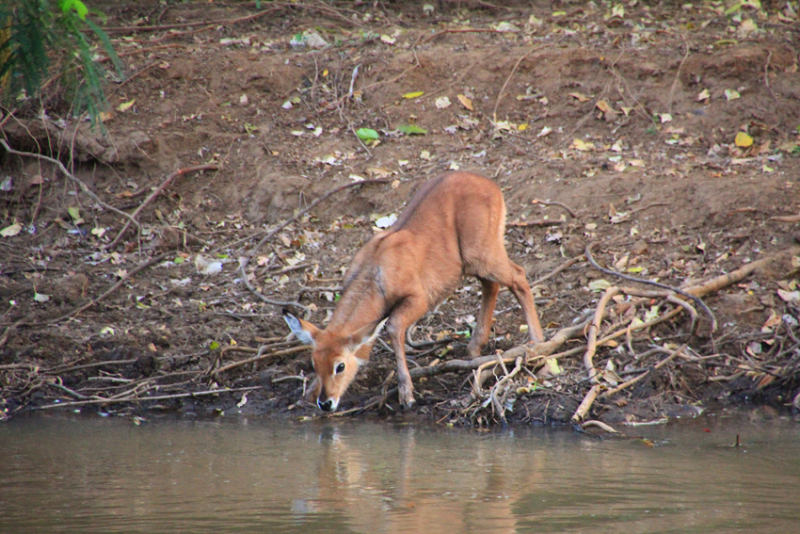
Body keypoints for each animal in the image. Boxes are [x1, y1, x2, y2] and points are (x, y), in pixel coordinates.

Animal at [282, 170, 544, 412]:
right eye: (314, 364)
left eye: (340, 365)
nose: (326, 402)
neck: (376, 271)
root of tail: (493, 187)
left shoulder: (419, 299)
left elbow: (393, 326)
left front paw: (406, 394)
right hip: (476, 263)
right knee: (492, 285)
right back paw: (474, 348)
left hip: (482, 255)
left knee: (518, 276)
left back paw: (537, 342)